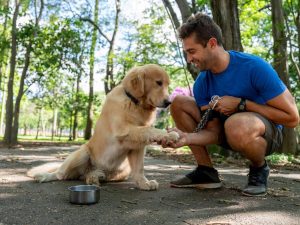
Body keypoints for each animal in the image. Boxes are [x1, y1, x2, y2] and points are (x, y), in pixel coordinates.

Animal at [27, 64, 178, 191]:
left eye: (167, 85)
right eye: (158, 83)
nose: (169, 102)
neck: (135, 103)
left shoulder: (137, 146)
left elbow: (139, 169)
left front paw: (144, 183)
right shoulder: (123, 131)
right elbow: (149, 129)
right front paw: (169, 134)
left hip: (122, 170)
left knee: (88, 175)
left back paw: (94, 177)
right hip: (82, 153)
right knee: (60, 174)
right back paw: (44, 176)